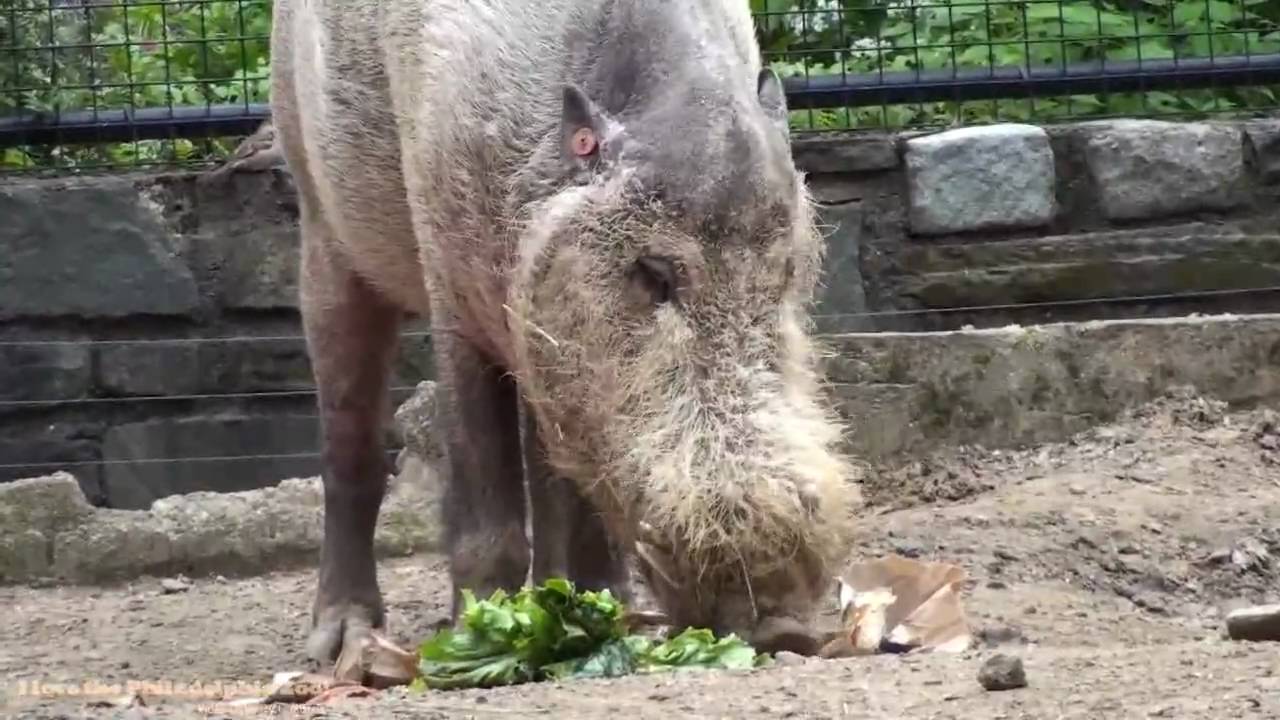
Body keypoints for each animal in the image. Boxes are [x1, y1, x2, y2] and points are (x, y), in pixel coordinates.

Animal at [268, 0, 860, 663]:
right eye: (655, 274)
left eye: (785, 274)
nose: (789, 629)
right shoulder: (449, 283)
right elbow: (481, 477)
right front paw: (479, 634)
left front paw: (606, 615)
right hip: (321, 220)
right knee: (349, 441)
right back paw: (341, 643)